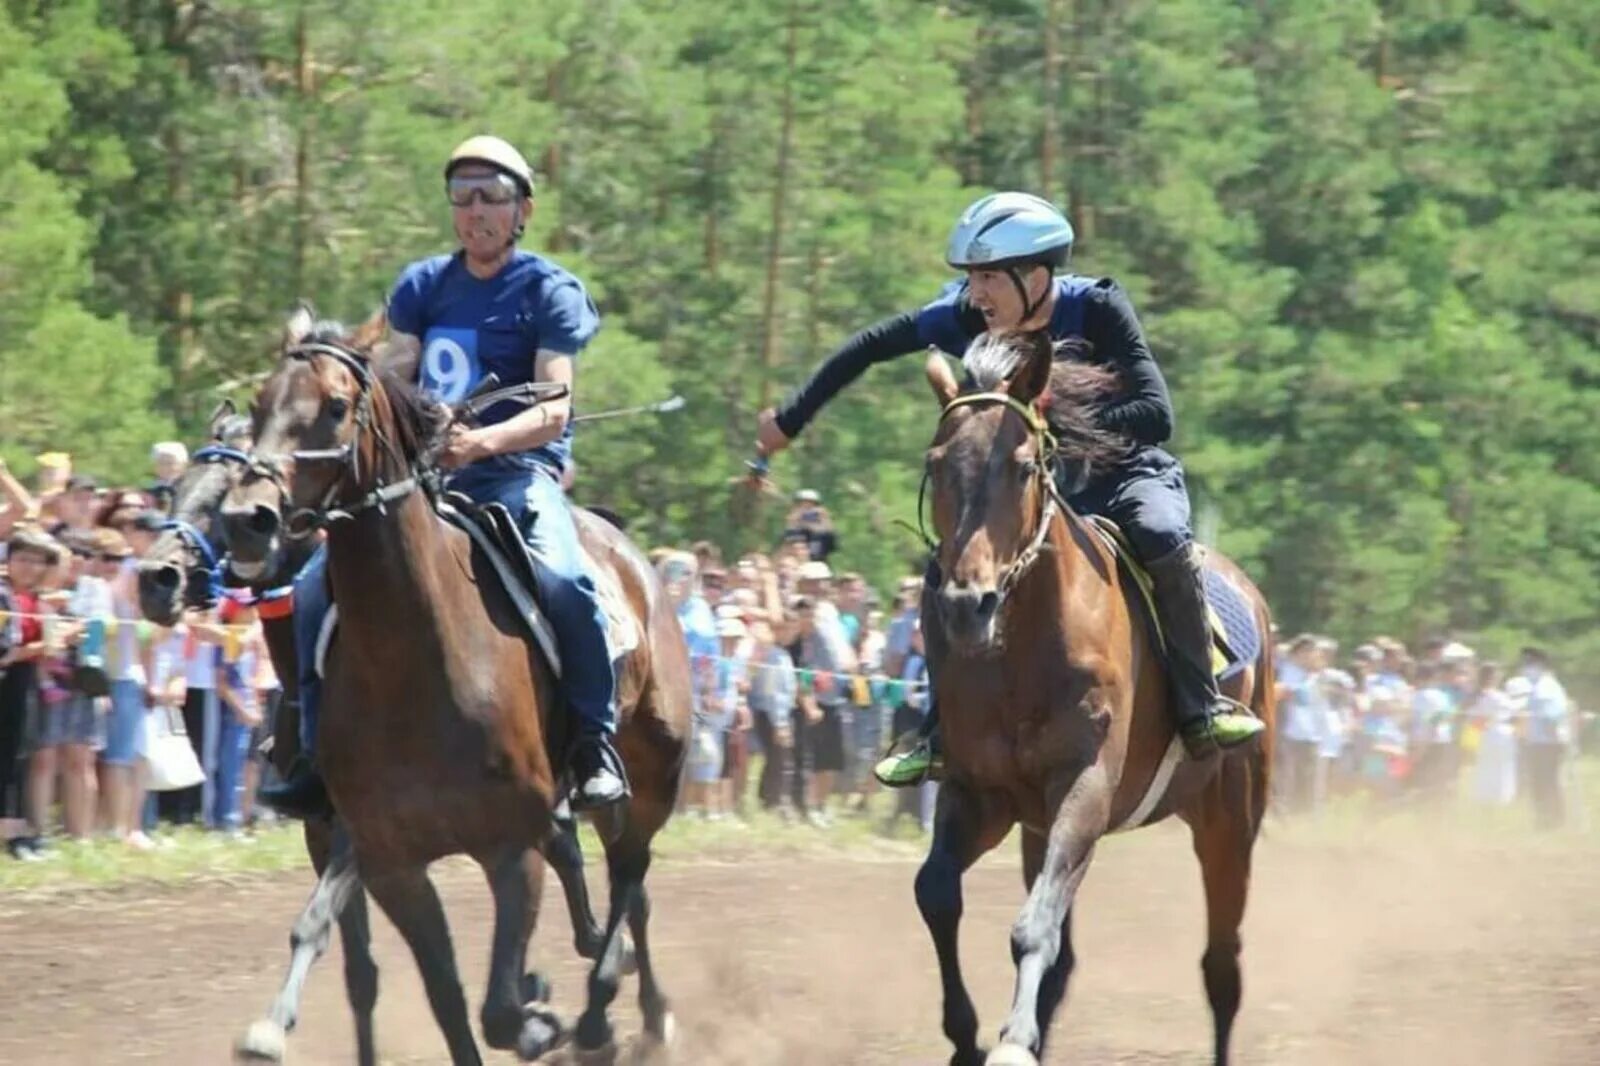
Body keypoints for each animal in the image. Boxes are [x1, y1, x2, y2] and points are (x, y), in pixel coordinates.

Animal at [134, 312, 630, 1056]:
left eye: (336, 407)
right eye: (176, 487)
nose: (156, 578)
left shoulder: (485, 843)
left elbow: (487, 997)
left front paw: (542, 1008)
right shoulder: (352, 840)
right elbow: (360, 963)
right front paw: (274, 1027)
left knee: (629, 880)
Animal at [915, 328, 1273, 1056]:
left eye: (1024, 465)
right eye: (937, 464)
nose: (967, 606)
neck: (1020, 655)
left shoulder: (1085, 785)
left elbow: (1033, 927)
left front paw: (1011, 1043)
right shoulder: (982, 793)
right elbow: (936, 892)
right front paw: (967, 1036)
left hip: (1231, 816)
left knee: (1222, 968)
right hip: (1038, 825)